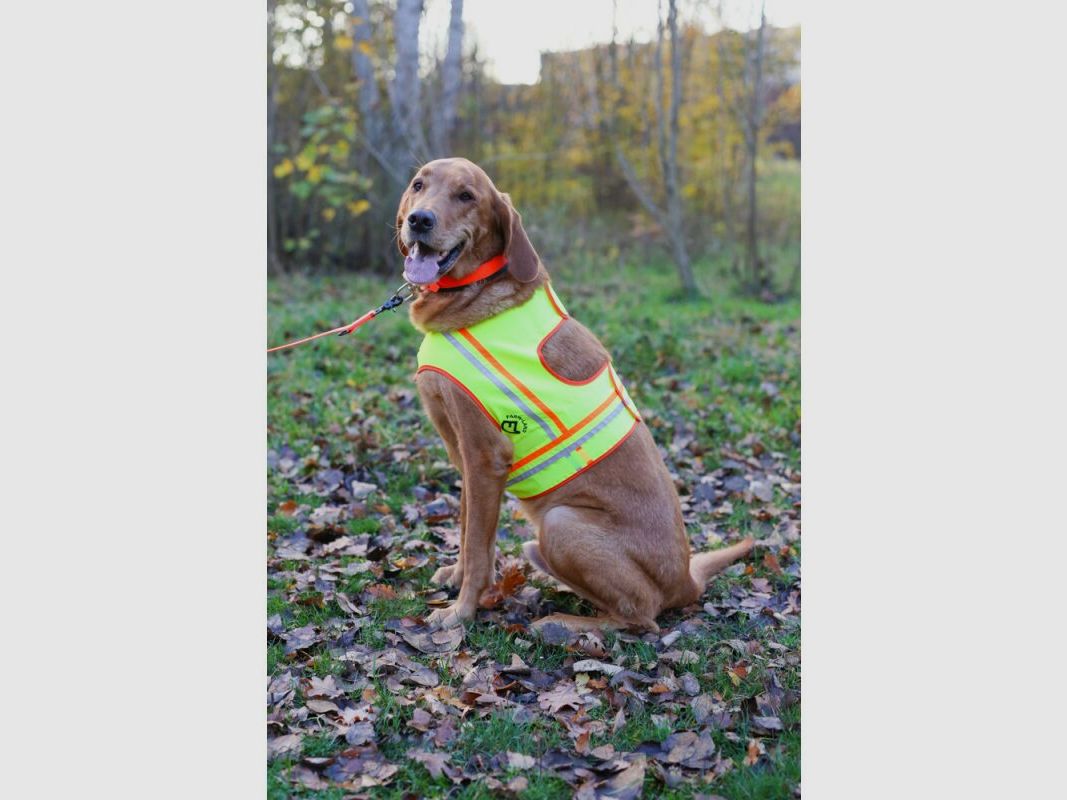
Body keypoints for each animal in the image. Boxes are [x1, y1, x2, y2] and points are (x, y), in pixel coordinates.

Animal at [396, 156, 755, 631]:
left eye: (466, 196)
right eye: (419, 185)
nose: (420, 220)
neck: (472, 297)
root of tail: (687, 581)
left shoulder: (485, 456)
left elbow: (477, 546)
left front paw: (462, 612)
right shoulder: (463, 455)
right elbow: (468, 526)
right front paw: (455, 579)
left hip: (561, 521)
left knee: (641, 617)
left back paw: (564, 623)